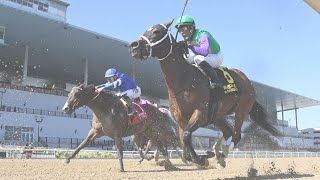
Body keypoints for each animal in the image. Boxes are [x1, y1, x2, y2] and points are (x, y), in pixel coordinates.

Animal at [129, 20, 282, 167]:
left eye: (156, 31)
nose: (133, 46)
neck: (184, 80)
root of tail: (246, 80)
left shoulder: (201, 113)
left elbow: (186, 136)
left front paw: (200, 159)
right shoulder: (181, 120)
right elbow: (184, 141)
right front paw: (200, 157)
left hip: (242, 109)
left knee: (236, 134)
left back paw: (223, 155)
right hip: (217, 116)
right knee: (227, 131)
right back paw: (216, 152)